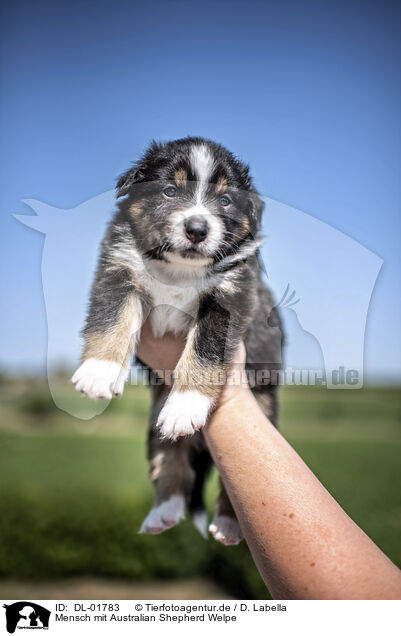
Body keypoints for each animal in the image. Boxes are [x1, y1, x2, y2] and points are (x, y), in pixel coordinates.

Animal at [73, 139, 282, 548]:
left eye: (226, 201)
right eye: (170, 191)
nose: (197, 229)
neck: (180, 270)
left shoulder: (229, 298)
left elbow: (204, 351)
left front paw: (187, 403)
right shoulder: (119, 269)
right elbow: (111, 316)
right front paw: (98, 372)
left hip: (265, 405)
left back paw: (229, 525)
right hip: (155, 423)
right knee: (172, 464)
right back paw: (162, 514)